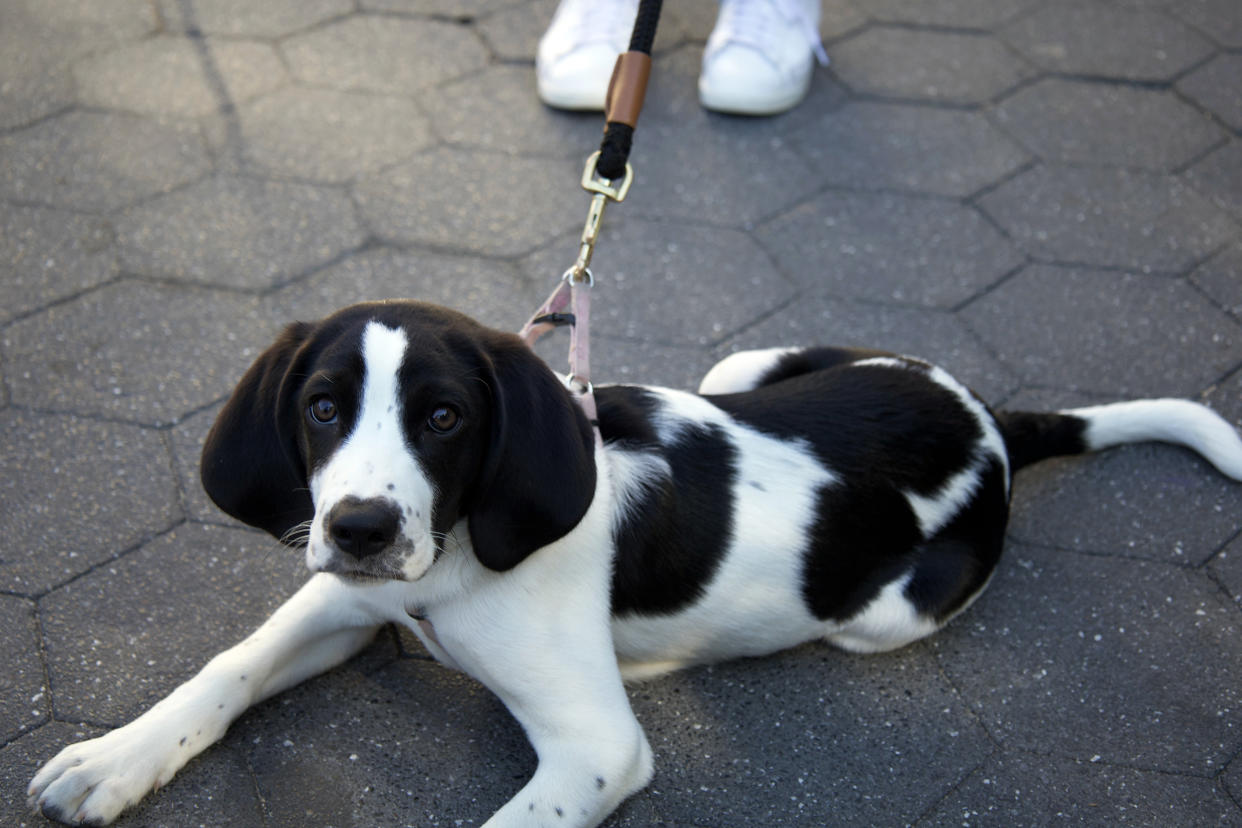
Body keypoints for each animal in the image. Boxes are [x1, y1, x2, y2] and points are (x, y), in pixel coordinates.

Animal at [26, 302, 1242, 828]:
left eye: (446, 417)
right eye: (323, 408)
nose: (362, 525)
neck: (456, 561)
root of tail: (984, 413)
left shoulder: (595, 752)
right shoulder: (349, 601)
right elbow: (225, 672)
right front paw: (113, 761)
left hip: (883, 613)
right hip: (746, 363)